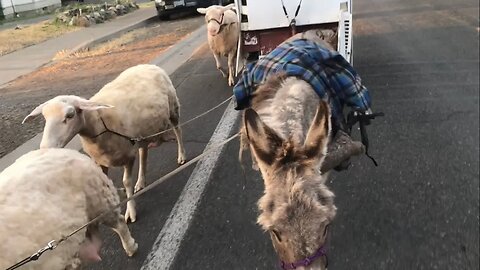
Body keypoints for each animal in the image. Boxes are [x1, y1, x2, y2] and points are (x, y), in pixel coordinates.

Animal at [23, 63, 188, 224]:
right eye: (45, 117)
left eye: (70, 115)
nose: (45, 147)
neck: (100, 121)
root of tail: (149, 65)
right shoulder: (101, 161)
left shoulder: (128, 155)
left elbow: (126, 181)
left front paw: (130, 210)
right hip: (142, 133)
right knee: (143, 151)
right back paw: (141, 182)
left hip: (173, 109)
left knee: (178, 131)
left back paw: (181, 156)